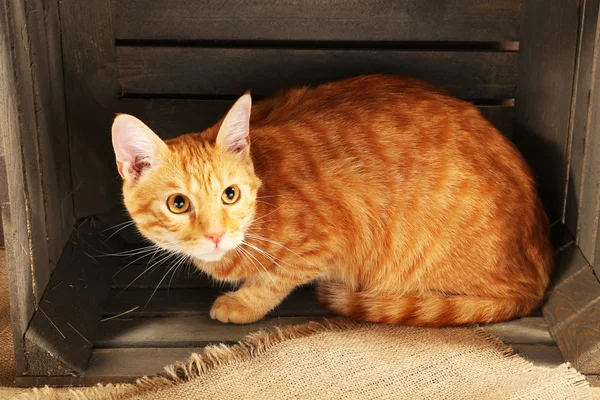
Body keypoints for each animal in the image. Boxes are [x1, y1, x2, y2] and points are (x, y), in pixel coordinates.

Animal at [111, 74, 552, 324]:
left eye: (230, 195)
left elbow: (274, 280)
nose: (216, 235)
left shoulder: (328, 242)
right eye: (178, 204)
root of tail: (540, 278)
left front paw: (243, 305)